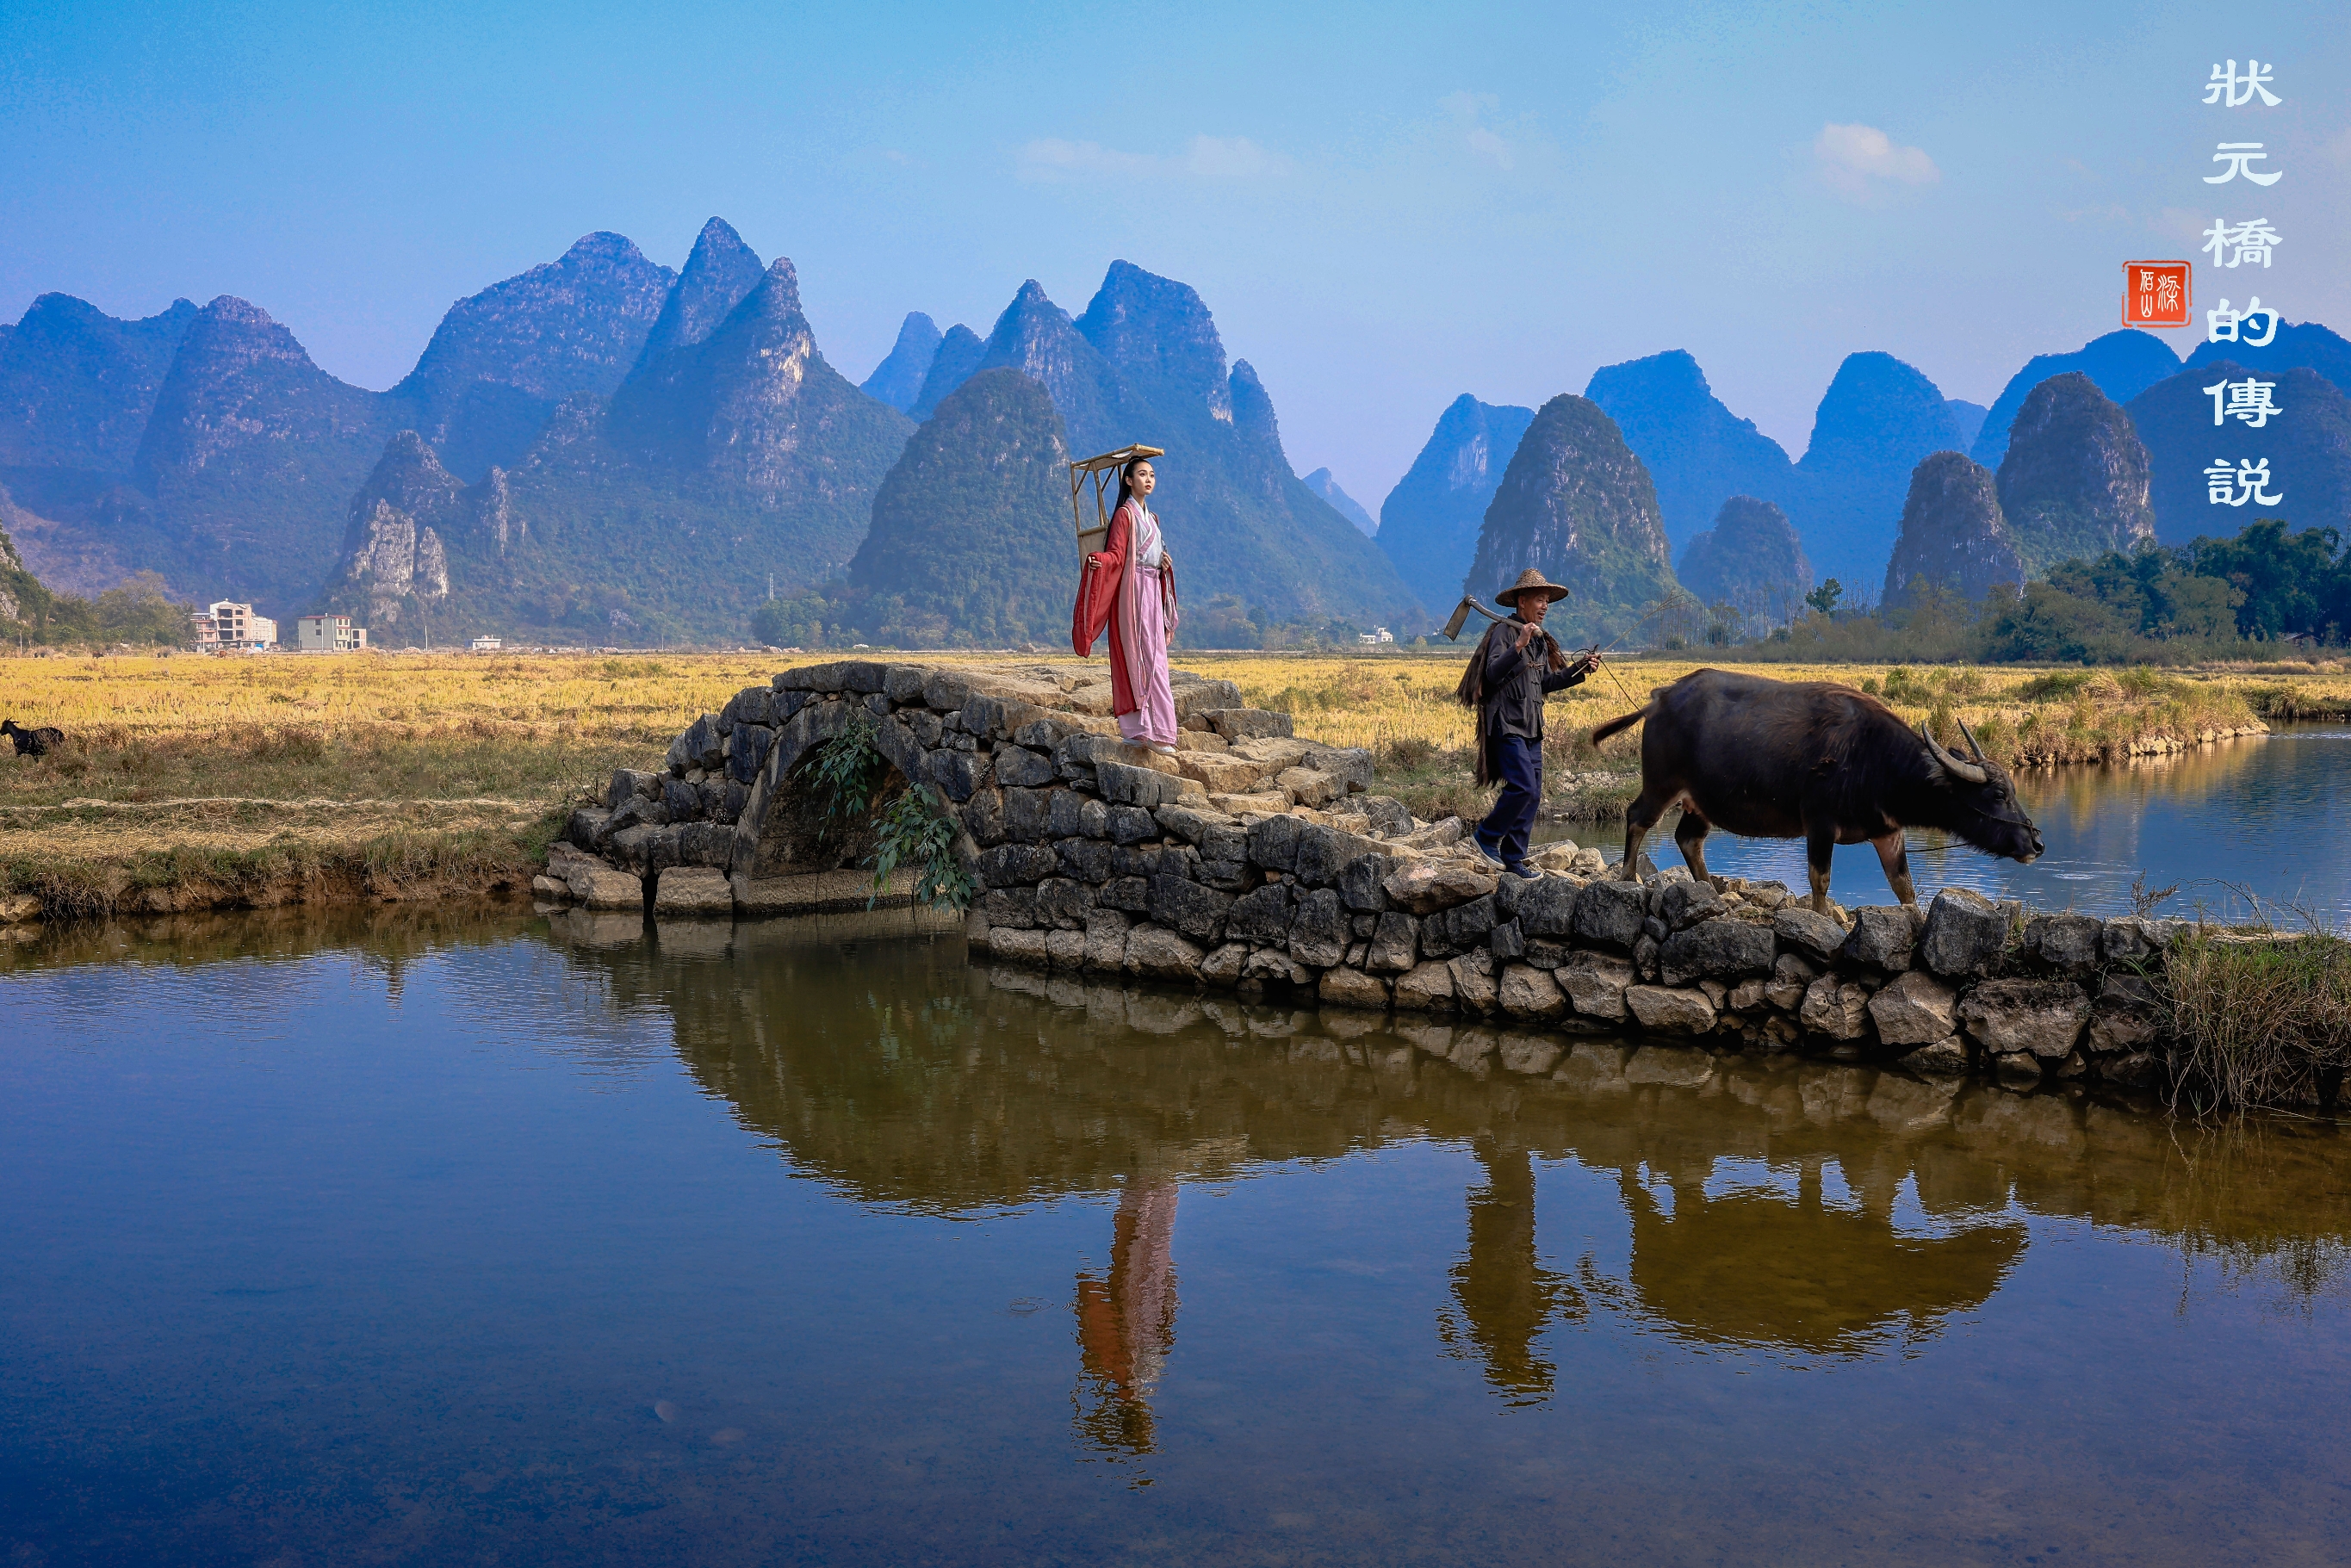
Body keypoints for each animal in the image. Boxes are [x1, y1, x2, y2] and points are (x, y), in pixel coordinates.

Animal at [1589, 667, 2050, 912]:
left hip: (1700, 803)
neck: (1874, 760)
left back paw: (1712, 892)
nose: (2036, 843)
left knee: (1688, 839)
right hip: (1661, 785)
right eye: (1997, 796)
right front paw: (1821, 917)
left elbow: (1904, 886)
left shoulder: (1888, 832)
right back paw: (1627, 877)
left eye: (2012, 790)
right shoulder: (1820, 825)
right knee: (1637, 818)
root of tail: (1659, 700)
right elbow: (1820, 880)